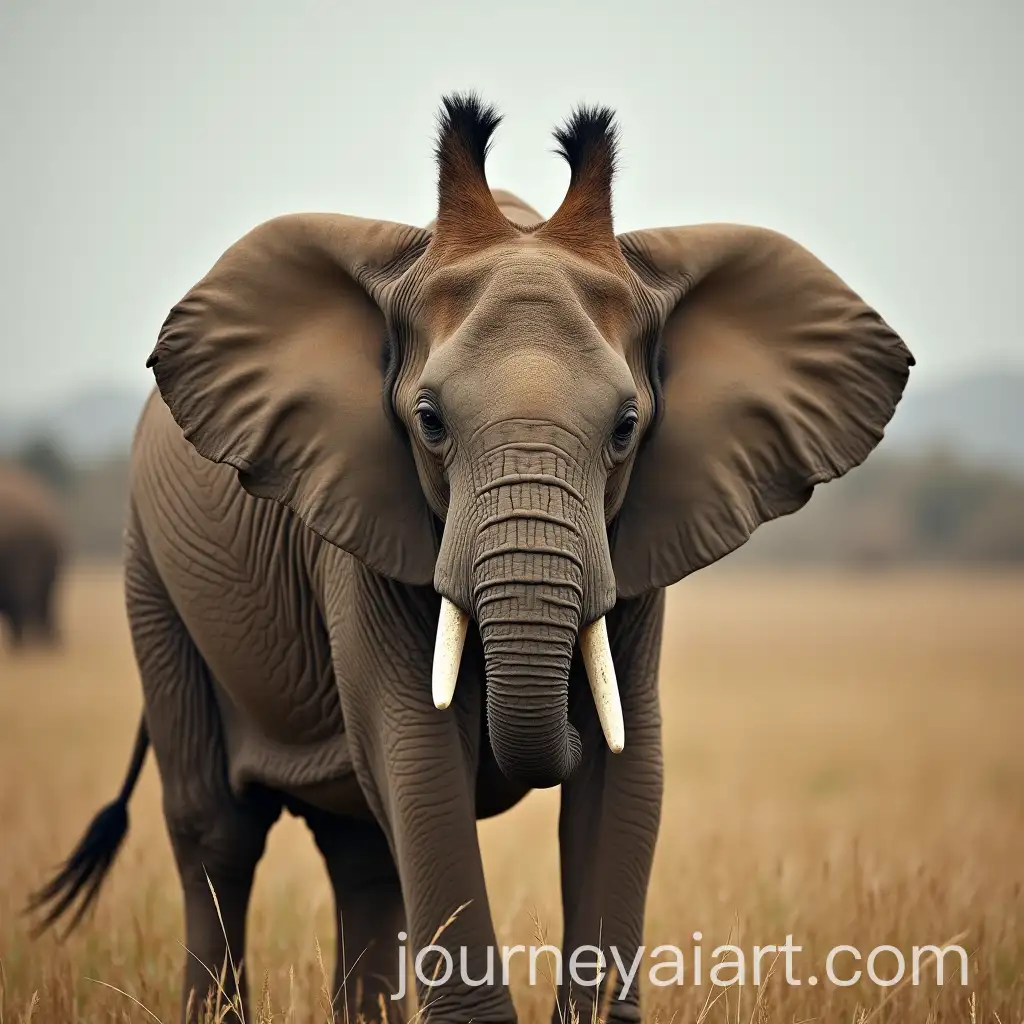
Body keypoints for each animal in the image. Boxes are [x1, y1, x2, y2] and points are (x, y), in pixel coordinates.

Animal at [28, 94, 914, 1024]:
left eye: (627, 426)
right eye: (428, 421)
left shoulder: (636, 543)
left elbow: (628, 766)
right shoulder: (361, 527)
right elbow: (418, 754)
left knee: (359, 848)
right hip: (150, 571)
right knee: (218, 829)